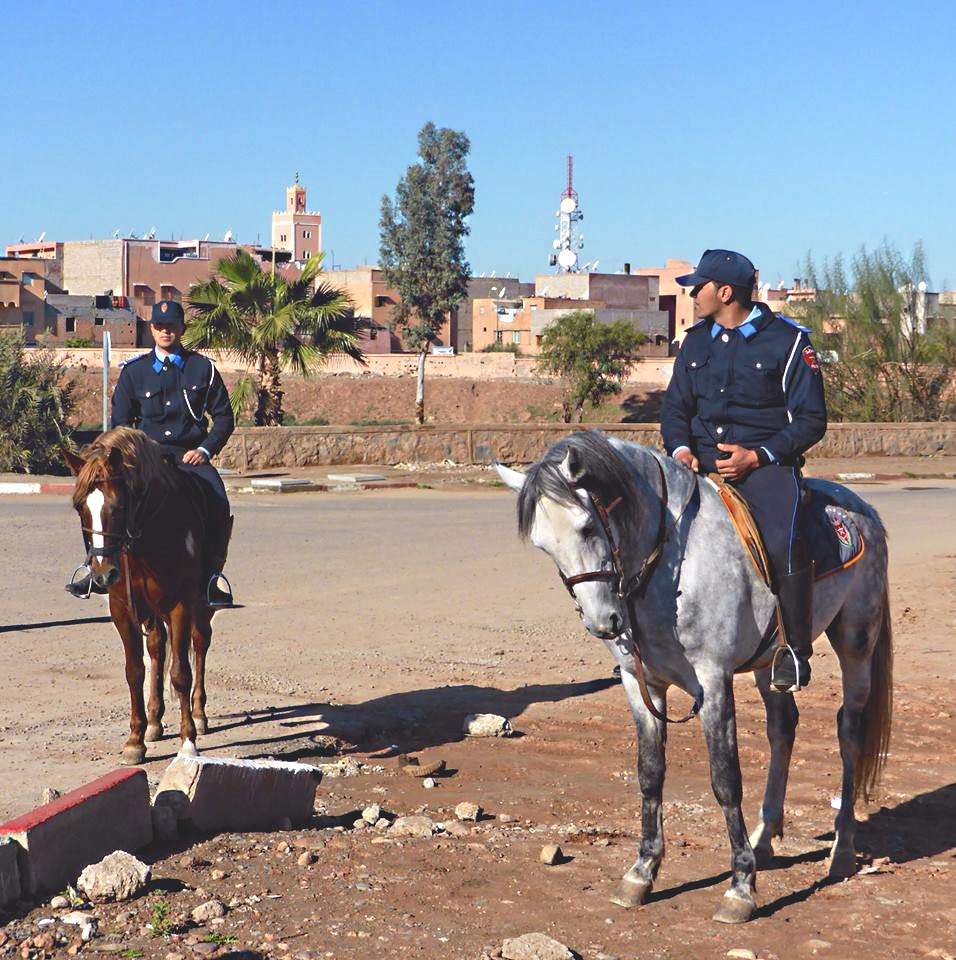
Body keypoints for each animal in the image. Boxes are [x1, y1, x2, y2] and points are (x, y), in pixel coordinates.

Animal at [66, 428, 217, 764]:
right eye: (80, 507)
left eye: (119, 505)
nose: (103, 573)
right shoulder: (122, 609)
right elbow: (135, 670)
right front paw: (135, 739)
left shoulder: (180, 605)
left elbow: (181, 673)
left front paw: (188, 741)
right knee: (157, 647)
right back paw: (154, 721)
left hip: (200, 606)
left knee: (200, 644)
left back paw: (199, 715)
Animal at [496, 430, 892, 924]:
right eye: (542, 545)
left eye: (588, 527)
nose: (604, 623)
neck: (670, 565)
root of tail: (859, 508)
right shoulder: (640, 682)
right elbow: (649, 773)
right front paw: (642, 872)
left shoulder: (715, 681)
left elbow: (725, 779)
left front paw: (740, 887)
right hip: (769, 663)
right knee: (783, 727)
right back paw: (765, 838)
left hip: (856, 640)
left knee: (849, 731)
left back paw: (841, 850)